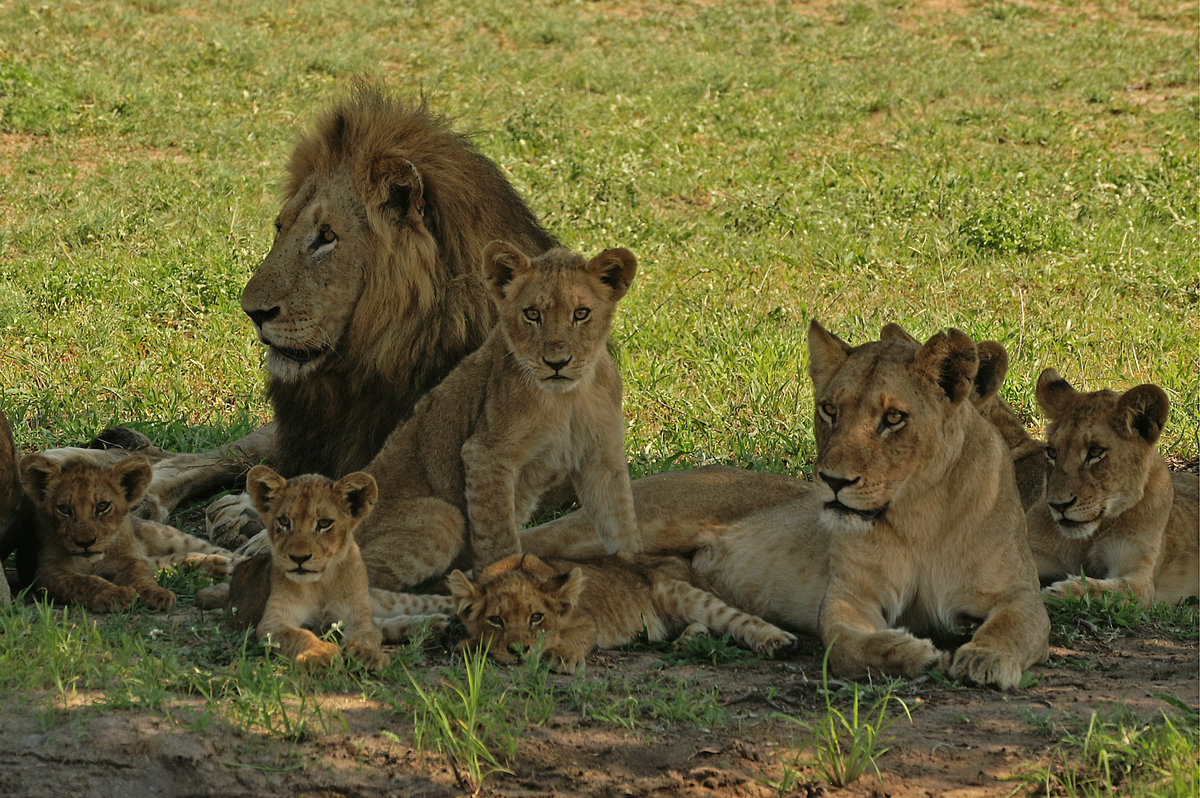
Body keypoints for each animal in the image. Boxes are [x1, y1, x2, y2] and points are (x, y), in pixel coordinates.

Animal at [446, 554, 792, 672]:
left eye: (536, 617)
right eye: (496, 620)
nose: (519, 651)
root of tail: (687, 565)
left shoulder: (587, 620)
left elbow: (573, 638)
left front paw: (559, 656)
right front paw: (473, 645)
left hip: (674, 591)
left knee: (733, 617)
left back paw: (779, 642)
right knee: (702, 625)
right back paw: (686, 642)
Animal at [696, 321, 1051, 686]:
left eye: (893, 417)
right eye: (829, 410)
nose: (834, 481)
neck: (919, 514)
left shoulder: (1019, 591)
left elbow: (1011, 628)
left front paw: (987, 657)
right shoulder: (851, 595)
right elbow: (844, 645)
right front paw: (912, 652)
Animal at [1022, 369, 1200, 600]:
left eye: (1095, 452)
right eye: (1052, 452)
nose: (1058, 506)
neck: (1092, 532)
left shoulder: (1140, 578)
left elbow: (1105, 589)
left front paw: (1058, 591)